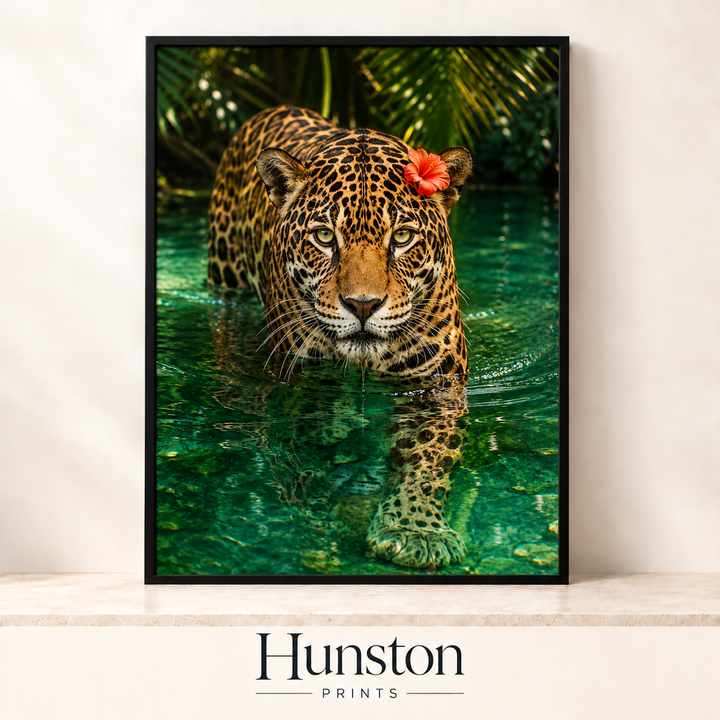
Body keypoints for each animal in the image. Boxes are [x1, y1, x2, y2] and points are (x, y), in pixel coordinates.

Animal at [207, 105, 473, 570]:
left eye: (402, 237)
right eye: (324, 236)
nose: (362, 305)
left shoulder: (437, 388)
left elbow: (426, 462)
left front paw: (414, 531)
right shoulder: (301, 379)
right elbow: (310, 449)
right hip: (224, 279)